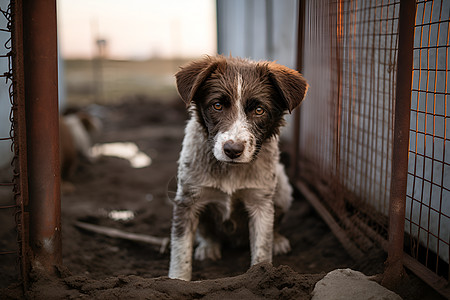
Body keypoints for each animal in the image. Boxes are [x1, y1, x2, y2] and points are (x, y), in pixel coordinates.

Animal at [167, 55, 308, 282]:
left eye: (259, 110)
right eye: (217, 105)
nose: (233, 150)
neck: (229, 169)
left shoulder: (261, 202)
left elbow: (262, 248)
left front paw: (262, 275)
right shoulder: (186, 200)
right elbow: (181, 251)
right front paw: (177, 281)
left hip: (283, 188)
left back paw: (278, 241)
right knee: (206, 232)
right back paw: (208, 247)